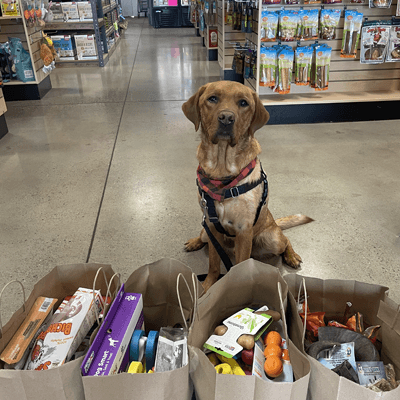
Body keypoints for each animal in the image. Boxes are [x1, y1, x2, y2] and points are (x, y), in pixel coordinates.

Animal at [182, 81, 312, 292]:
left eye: (243, 103)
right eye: (212, 98)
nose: (226, 118)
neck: (222, 171)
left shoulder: (244, 231)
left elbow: (240, 265)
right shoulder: (211, 226)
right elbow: (213, 263)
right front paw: (208, 285)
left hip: (272, 239)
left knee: (285, 241)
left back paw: (291, 256)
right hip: (206, 232)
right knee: (203, 238)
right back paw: (194, 242)